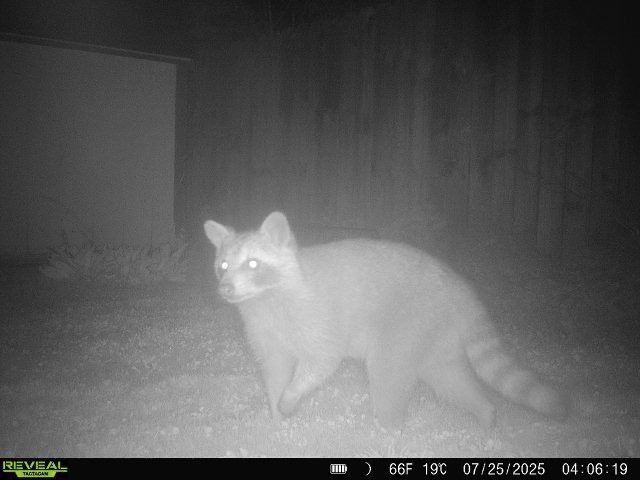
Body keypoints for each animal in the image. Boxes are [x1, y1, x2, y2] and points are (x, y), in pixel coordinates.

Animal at [204, 211, 567, 428]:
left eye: (253, 264)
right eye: (223, 266)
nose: (224, 288)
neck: (263, 299)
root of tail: (457, 286)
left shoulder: (316, 319)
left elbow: (320, 362)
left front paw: (290, 397)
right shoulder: (266, 333)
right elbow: (275, 371)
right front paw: (277, 419)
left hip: (408, 323)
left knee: (388, 375)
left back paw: (387, 430)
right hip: (434, 334)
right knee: (450, 378)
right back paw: (484, 411)